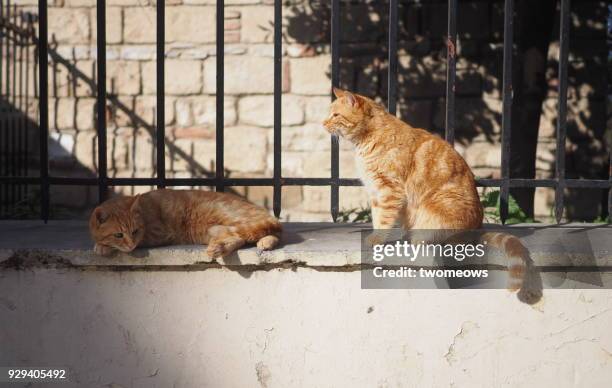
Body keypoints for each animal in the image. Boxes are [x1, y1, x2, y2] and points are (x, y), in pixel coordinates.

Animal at [88, 188, 282, 258]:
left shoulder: (159, 234)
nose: (129, 245)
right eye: (118, 234)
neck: (143, 211)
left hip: (231, 218)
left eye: (135, 231)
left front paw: (102, 246)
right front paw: (102, 244)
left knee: (244, 235)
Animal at [322, 88, 536, 300]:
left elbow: (383, 219)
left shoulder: (389, 189)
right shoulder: (376, 191)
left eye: (335, 115)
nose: (323, 124)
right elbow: (376, 216)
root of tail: (478, 228)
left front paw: (376, 239)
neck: (368, 138)